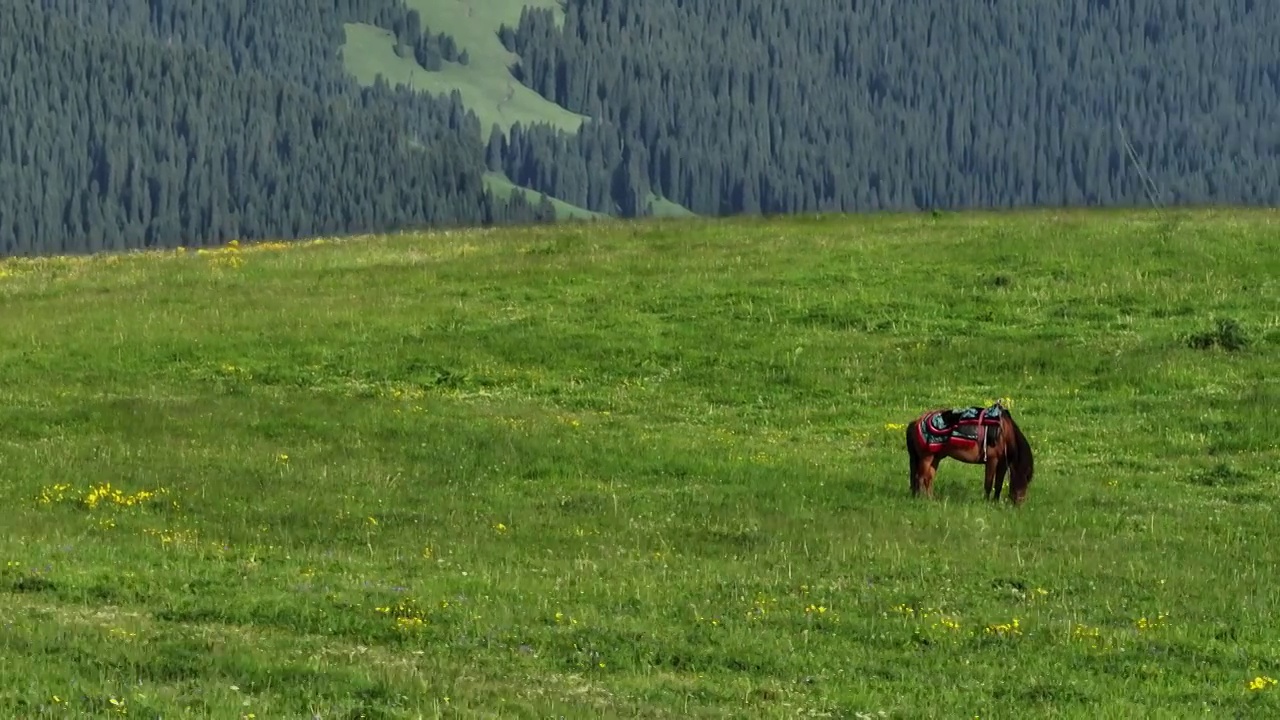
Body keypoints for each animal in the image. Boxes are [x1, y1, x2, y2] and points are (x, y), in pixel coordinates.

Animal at [906, 397, 1034, 504]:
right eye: (1025, 479)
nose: (1019, 504)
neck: (1004, 433)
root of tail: (915, 422)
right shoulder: (992, 460)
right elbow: (988, 483)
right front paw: (986, 502)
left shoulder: (1002, 464)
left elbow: (998, 484)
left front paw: (995, 502)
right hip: (926, 457)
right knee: (920, 477)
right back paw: (921, 499)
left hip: (935, 457)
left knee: (928, 478)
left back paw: (930, 499)